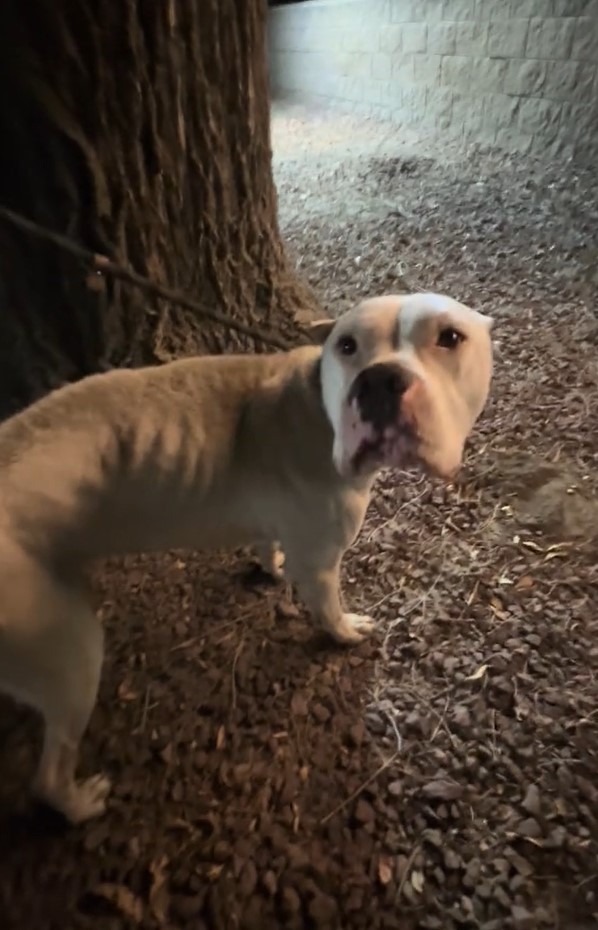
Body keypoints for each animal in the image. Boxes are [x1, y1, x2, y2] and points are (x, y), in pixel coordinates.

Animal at [0, 290, 496, 820]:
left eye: (449, 337)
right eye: (347, 345)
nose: (379, 380)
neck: (317, 404)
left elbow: (267, 543)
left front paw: (268, 566)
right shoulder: (320, 561)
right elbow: (329, 609)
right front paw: (344, 633)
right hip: (69, 648)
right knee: (50, 770)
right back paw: (79, 803)